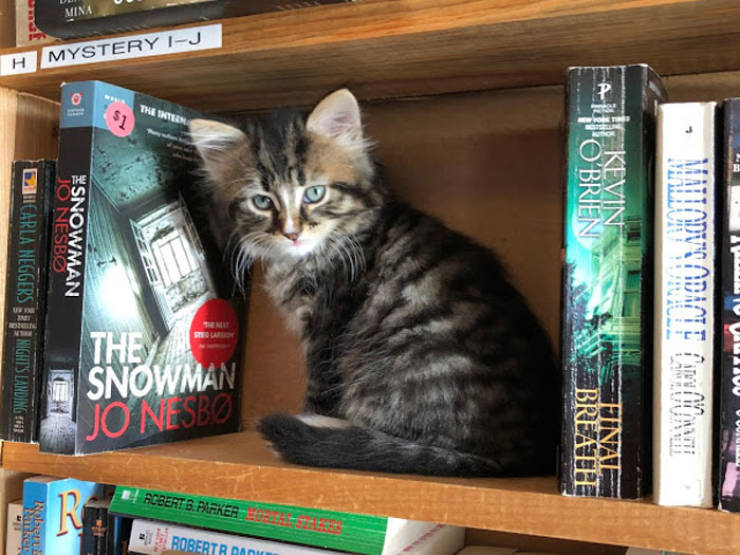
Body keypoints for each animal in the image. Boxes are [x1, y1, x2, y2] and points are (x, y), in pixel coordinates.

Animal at [188, 89, 556, 476]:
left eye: (314, 194)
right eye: (261, 201)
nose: (291, 233)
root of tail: (520, 454)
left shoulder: (329, 326)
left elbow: (320, 387)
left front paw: (309, 416)